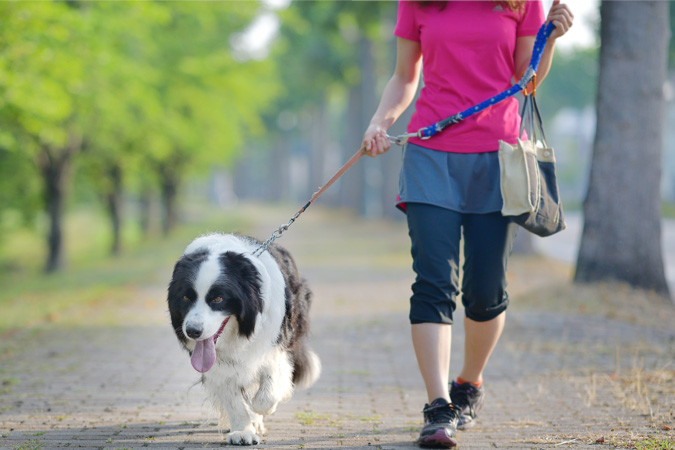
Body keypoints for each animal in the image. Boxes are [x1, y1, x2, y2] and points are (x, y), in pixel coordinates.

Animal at [166, 234, 320, 444]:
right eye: (186, 298)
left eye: (218, 299)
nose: (192, 331)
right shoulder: (217, 366)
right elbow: (232, 398)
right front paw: (242, 431)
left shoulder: (275, 342)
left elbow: (268, 387)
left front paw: (260, 411)